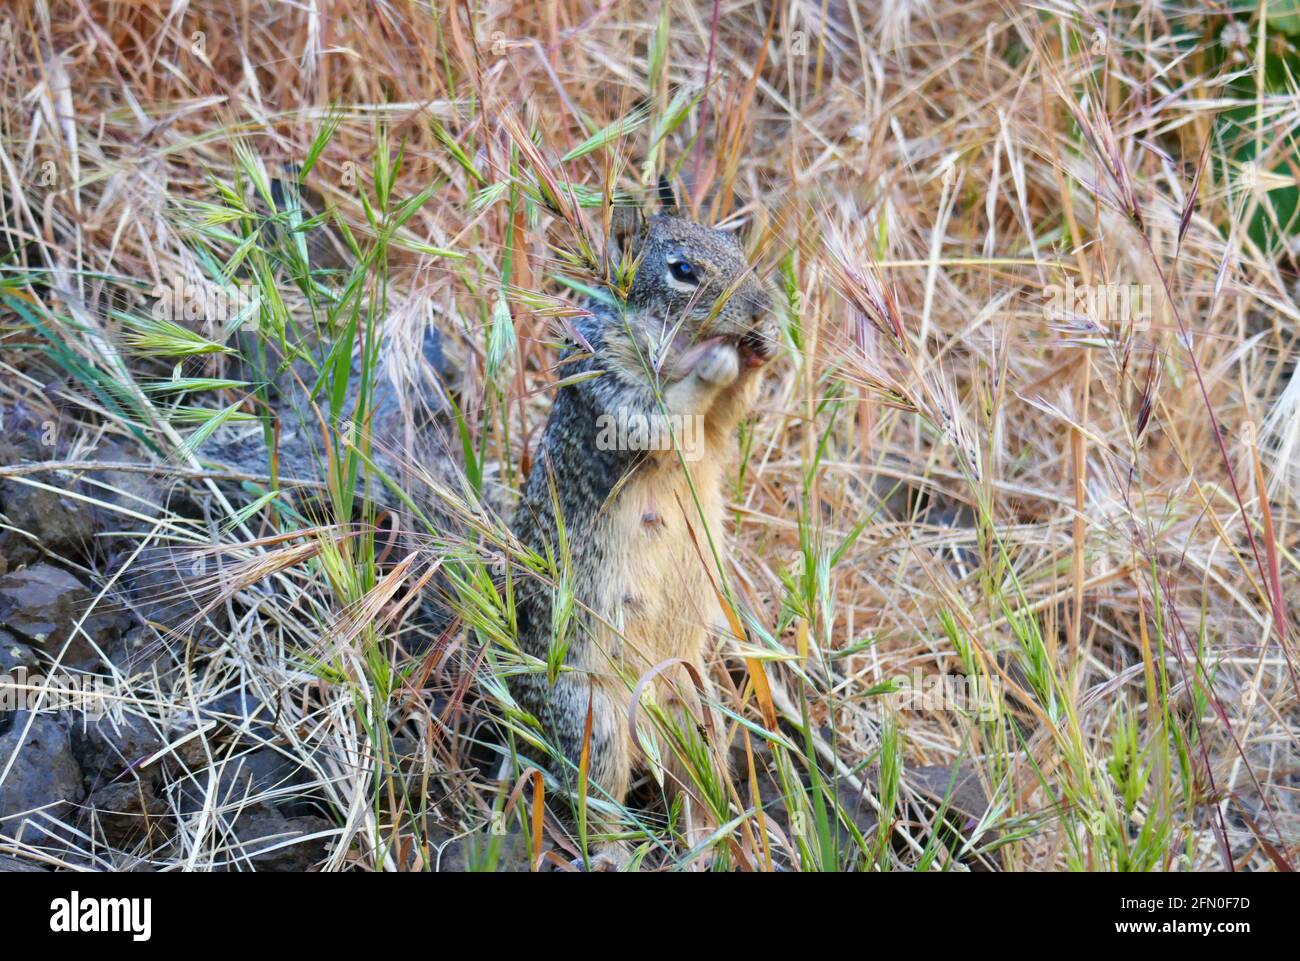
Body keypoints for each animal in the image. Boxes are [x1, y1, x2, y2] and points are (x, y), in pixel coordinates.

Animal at [504, 189, 769, 873]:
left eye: (740, 250)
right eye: (683, 271)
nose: (762, 308)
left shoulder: (717, 427)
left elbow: (729, 414)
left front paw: (762, 349)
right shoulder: (607, 381)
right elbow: (661, 412)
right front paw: (714, 359)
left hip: (702, 713)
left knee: (696, 788)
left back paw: (709, 844)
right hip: (592, 721)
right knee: (599, 803)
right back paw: (617, 853)